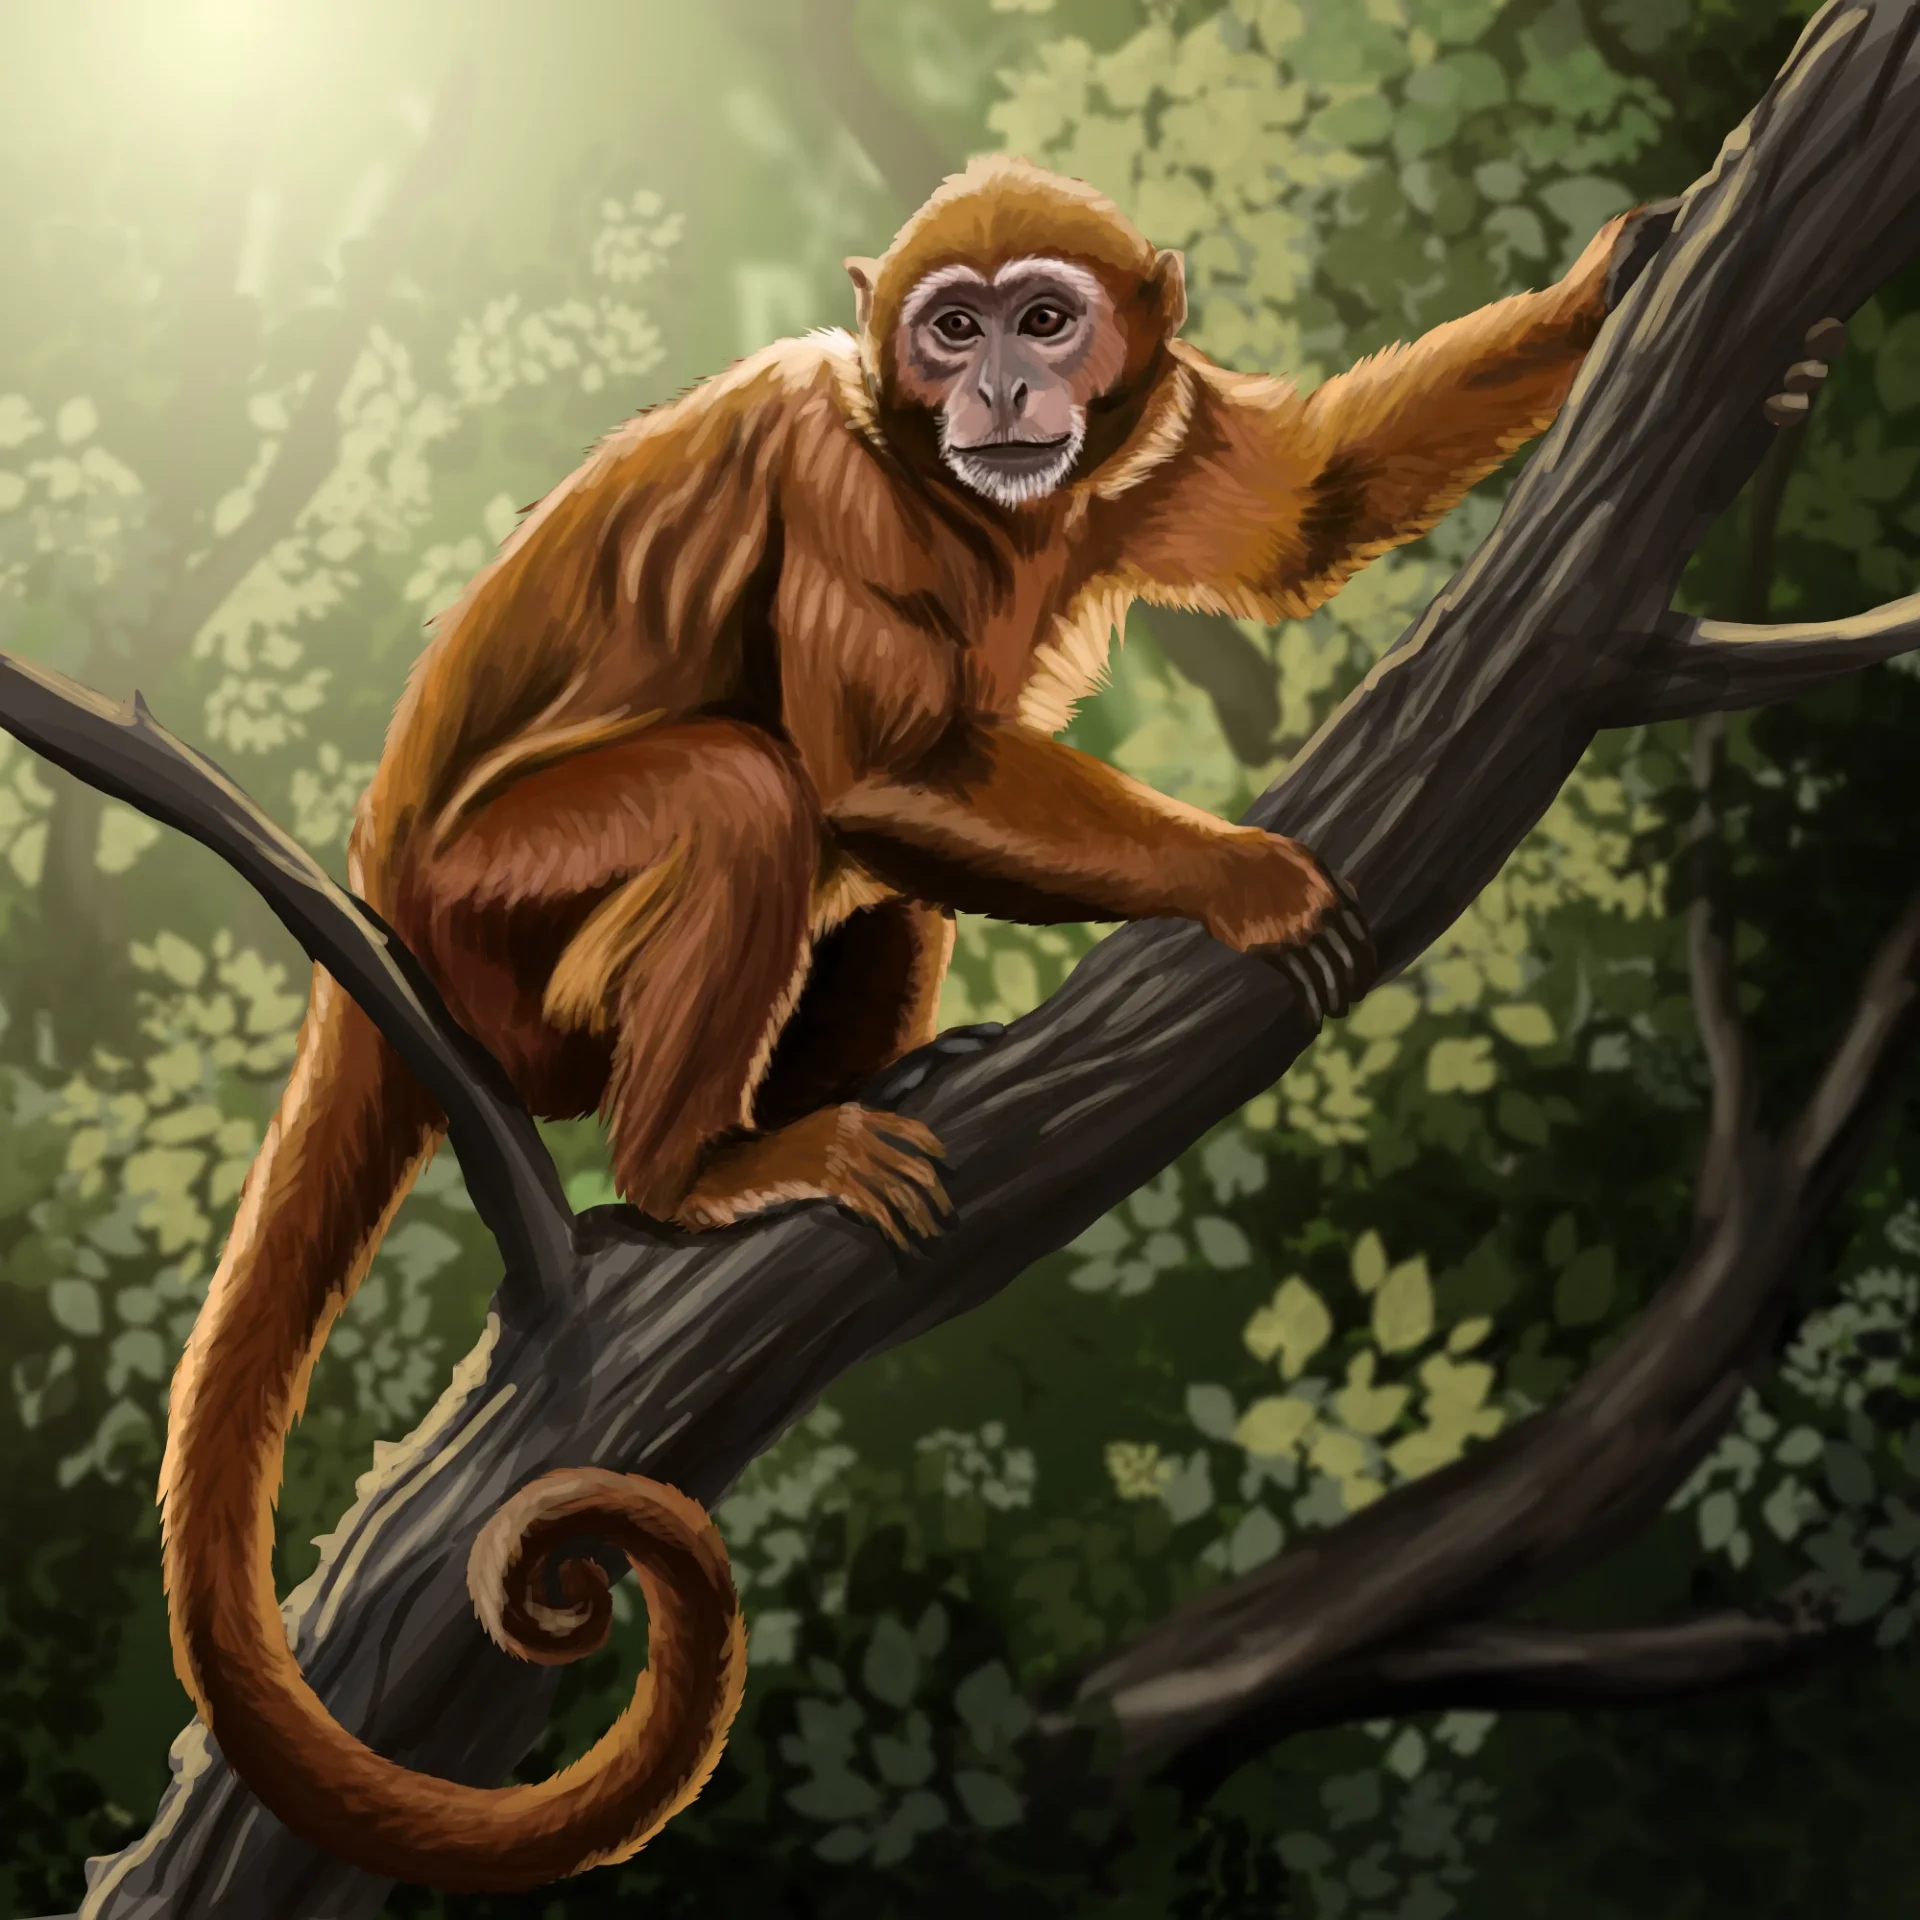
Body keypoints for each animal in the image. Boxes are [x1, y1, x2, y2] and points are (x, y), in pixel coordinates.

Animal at [151, 156, 1716, 1892]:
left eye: (1046, 317)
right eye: (952, 328)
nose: (1005, 386)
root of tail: (376, 885)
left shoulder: (1141, 440)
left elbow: (1308, 505)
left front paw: (1615, 277)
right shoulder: (841, 488)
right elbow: (876, 773)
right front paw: (1234, 875)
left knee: (864, 875)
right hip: (496, 929)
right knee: (752, 793)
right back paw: (694, 1172)